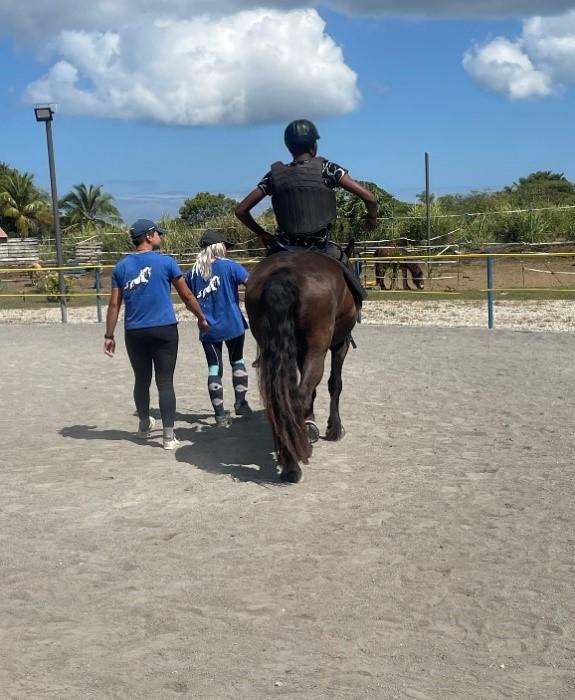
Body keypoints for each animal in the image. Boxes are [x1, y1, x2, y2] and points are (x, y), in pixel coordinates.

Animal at [245, 243, 358, 484]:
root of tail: (284, 273)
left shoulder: (298, 352)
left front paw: (311, 419)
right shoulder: (340, 345)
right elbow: (335, 384)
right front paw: (334, 429)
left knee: (281, 401)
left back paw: (288, 458)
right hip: (318, 349)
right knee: (300, 395)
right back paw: (296, 459)